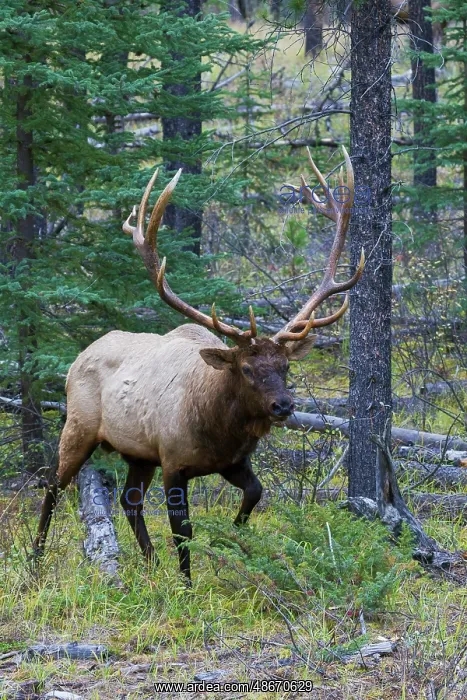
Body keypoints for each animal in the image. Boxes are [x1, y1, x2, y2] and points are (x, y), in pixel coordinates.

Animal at [34, 147, 364, 582]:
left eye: (285, 367)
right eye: (246, 369)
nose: (283, 406)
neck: (218, 426)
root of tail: (76, 360)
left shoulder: (232, 460)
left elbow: (255, 494)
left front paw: (228, 542)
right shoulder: (173, 461)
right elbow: (183, 531)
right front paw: (187, 584)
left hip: (138, 452)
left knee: (128, 500)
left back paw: (150, 562)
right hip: (79, 426)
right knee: (53, 486)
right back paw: (35, 558)